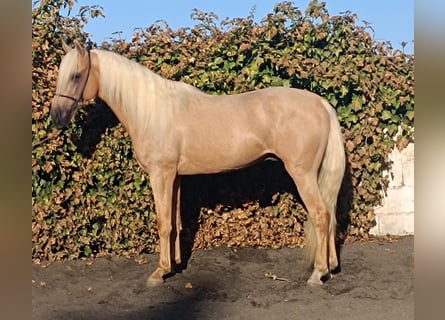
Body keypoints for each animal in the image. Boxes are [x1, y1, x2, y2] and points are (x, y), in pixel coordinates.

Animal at [51, 38, 344, 286]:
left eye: (75, 75)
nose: (57, 117)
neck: (153, 112)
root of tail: (320, 103)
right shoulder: (175, 177)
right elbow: (176, 222)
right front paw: (175, 264)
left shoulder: (161, 175)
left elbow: (163, 222)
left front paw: (159, 272)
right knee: (329, 215)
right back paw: (330, 267)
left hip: (302, 174)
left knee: (321, 215)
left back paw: (318, 274)